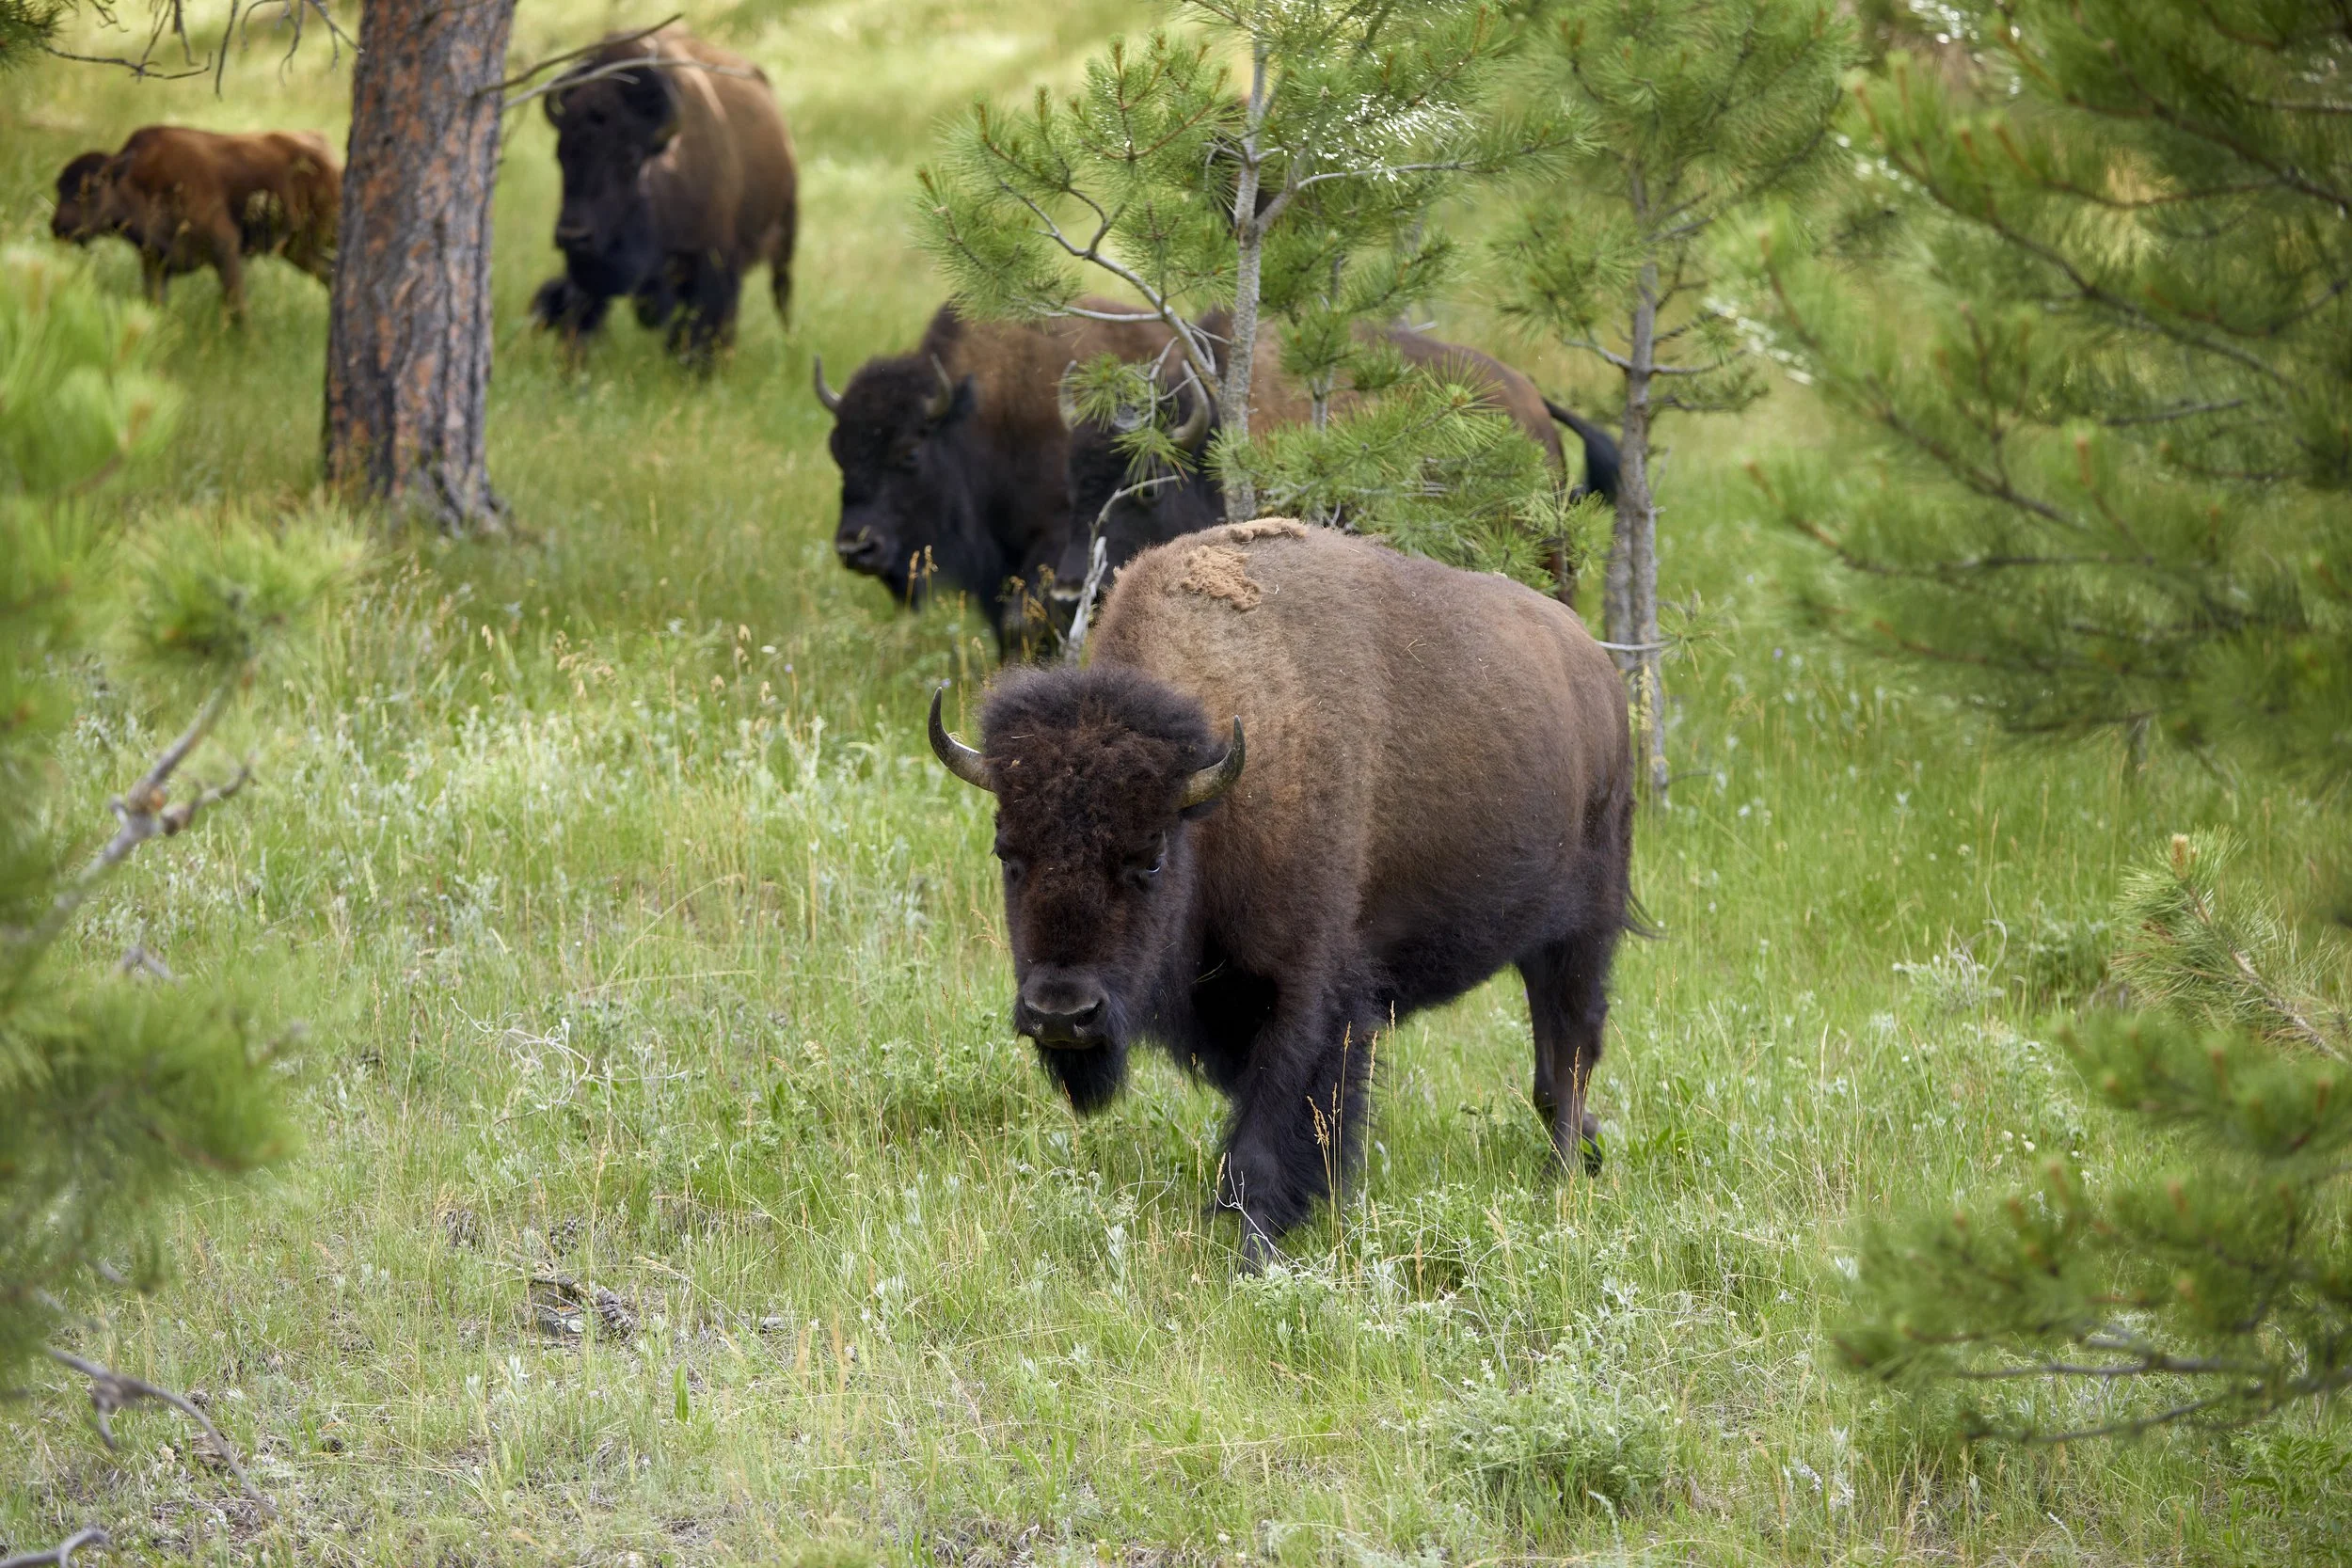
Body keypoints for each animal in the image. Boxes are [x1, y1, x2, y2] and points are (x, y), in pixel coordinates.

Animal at [51, 127, 339, 321]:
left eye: (92, 187)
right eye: (59, 187)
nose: (58, 227)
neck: (140, 184)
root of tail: (327, 153)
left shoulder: (225, 249)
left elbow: (237, 307)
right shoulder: (155, 263)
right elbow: (154, 304)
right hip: (297, 249)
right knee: (329, 275)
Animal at [529, 28, 797, 361]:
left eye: (630, 159)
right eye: (561, 155)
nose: (572, 236)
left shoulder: (713, 263)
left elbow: (706, 325)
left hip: (785, 234)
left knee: (781, 294)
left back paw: (787, 339)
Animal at [931, 519, 1638, 1265]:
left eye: (1150, 859)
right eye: (1008, 852)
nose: (1062, 1013)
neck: (1217, 800)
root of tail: (1597, 670)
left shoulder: (1310, 994)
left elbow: (1271, 1134)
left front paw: (1256, 1253)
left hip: (1581, 934)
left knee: (1569, 1050)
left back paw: (1562, 1174)